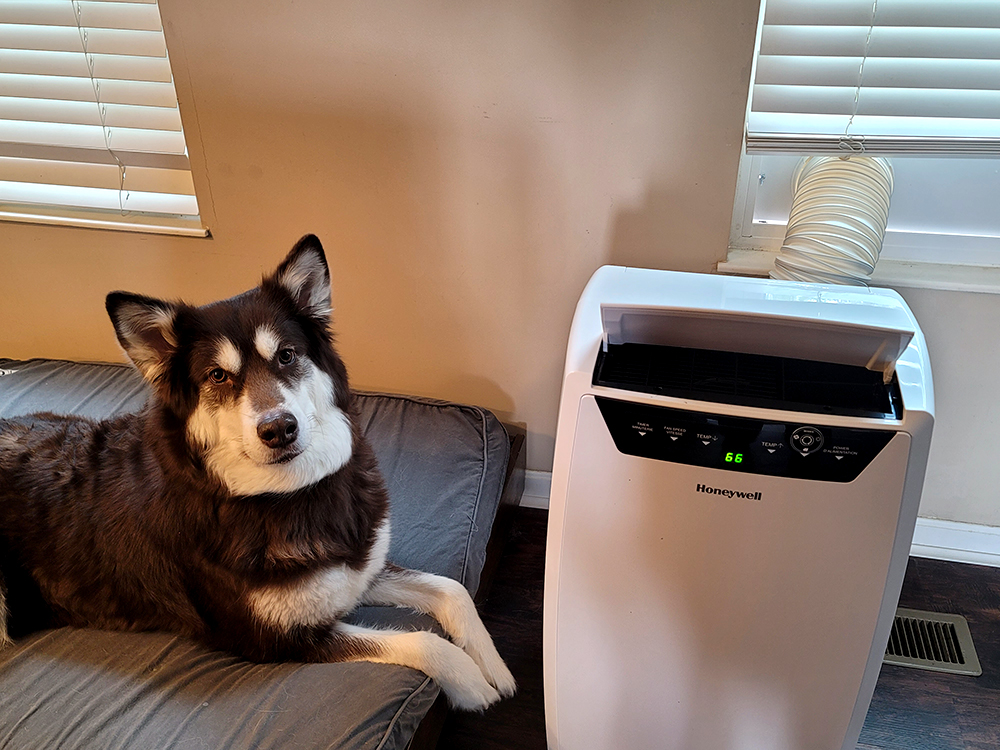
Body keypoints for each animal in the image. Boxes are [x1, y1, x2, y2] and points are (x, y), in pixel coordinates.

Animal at [0, 238, 516, 712]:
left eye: (286, 355)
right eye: (217, 376)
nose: (278, 429)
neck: (287, 495)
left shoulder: (358, 570)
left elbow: (451, 590)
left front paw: (494, 665)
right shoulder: (275, 640)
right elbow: (422, 642)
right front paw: (471, 684)